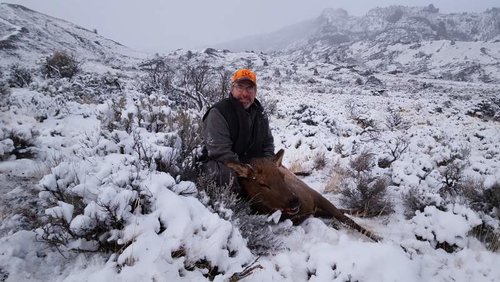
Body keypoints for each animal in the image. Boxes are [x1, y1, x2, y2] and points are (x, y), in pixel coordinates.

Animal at [227, 150, 382, 242]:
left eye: (281, 176)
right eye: (262, 183)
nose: (295, 201)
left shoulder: (314, 195)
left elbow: (348, 219)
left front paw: (377, 235)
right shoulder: (315, 210)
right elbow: (345, 216)